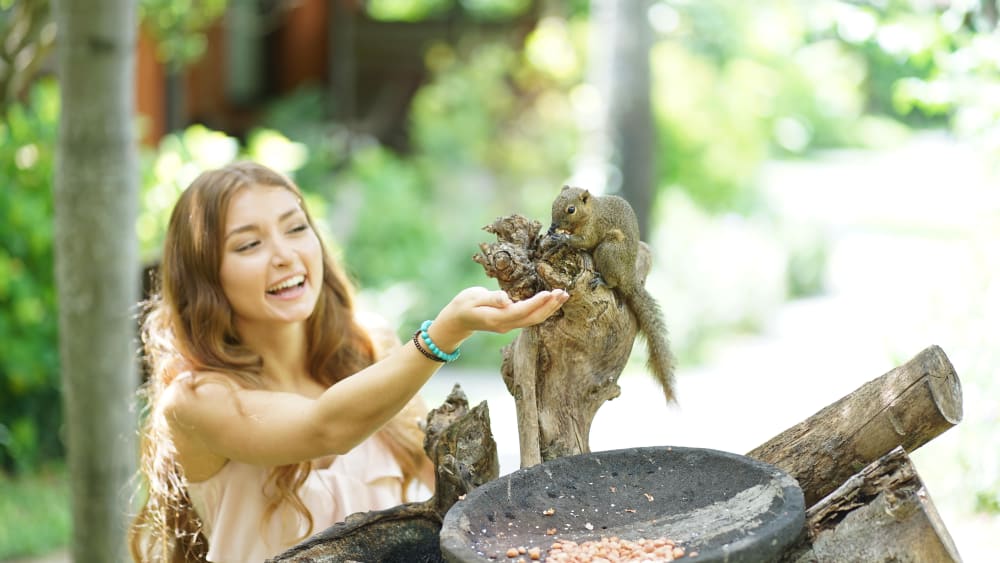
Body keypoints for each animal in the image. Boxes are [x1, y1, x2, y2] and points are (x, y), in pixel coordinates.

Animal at [549, 185, 676, 403]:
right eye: (555, 201)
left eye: (571, 209)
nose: (553, 225)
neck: (591, 212)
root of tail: (629, 279)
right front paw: (554, 235)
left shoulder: (593, 228)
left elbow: (585, 241)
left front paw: (562, 238)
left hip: (608, 251)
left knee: (612, 280)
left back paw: (603, 281)